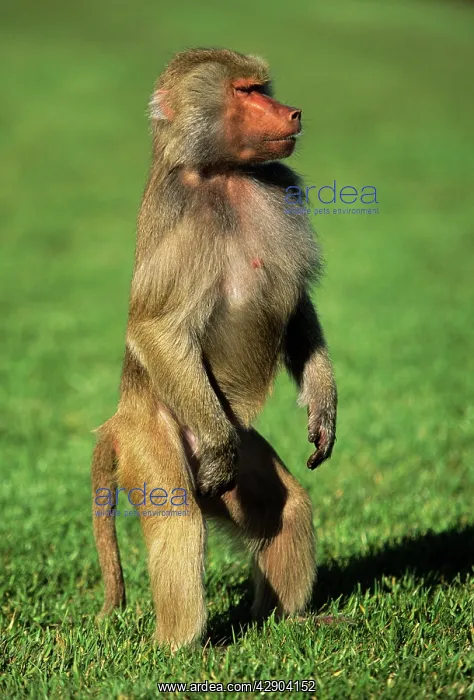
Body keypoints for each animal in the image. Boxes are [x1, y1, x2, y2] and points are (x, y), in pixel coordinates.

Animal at [91, 48, 337, 650]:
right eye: (245, 92)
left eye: (262, 88)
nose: (293, 112)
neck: (225, 175)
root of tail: (120, 417)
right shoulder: (184, 223)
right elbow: (155, 327)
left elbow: (296, 306)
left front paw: (323, 408)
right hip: (161, 432)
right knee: (182, 522)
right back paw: (177, 650)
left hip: (231, 438)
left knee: (285, 510)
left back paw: (291, 622)